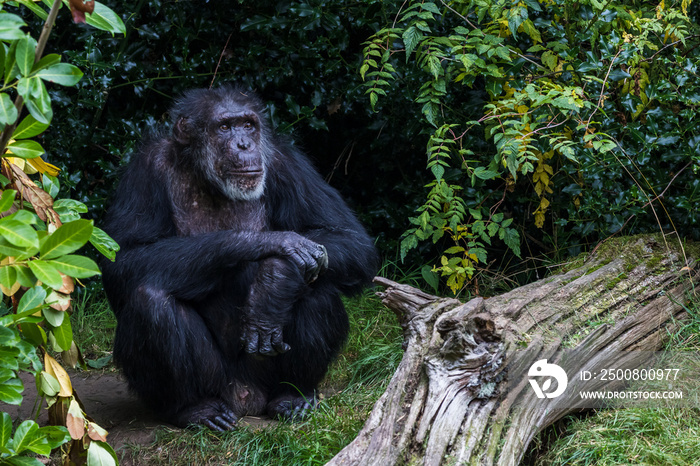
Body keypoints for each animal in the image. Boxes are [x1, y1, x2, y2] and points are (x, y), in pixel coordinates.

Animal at [100, 85, 378, 432]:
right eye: (224, 127)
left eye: (247, 124)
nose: (244, 143)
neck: (208, 179)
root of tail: (247, 400)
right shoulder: (144, 169)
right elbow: (123, 259)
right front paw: (272, 244)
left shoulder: (288, 163)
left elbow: (350, 238)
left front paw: (274, 280)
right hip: (220, 383)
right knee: (149, 301)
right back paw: (196, 408)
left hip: (265, 377)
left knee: (319, 284)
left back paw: (294, 396)